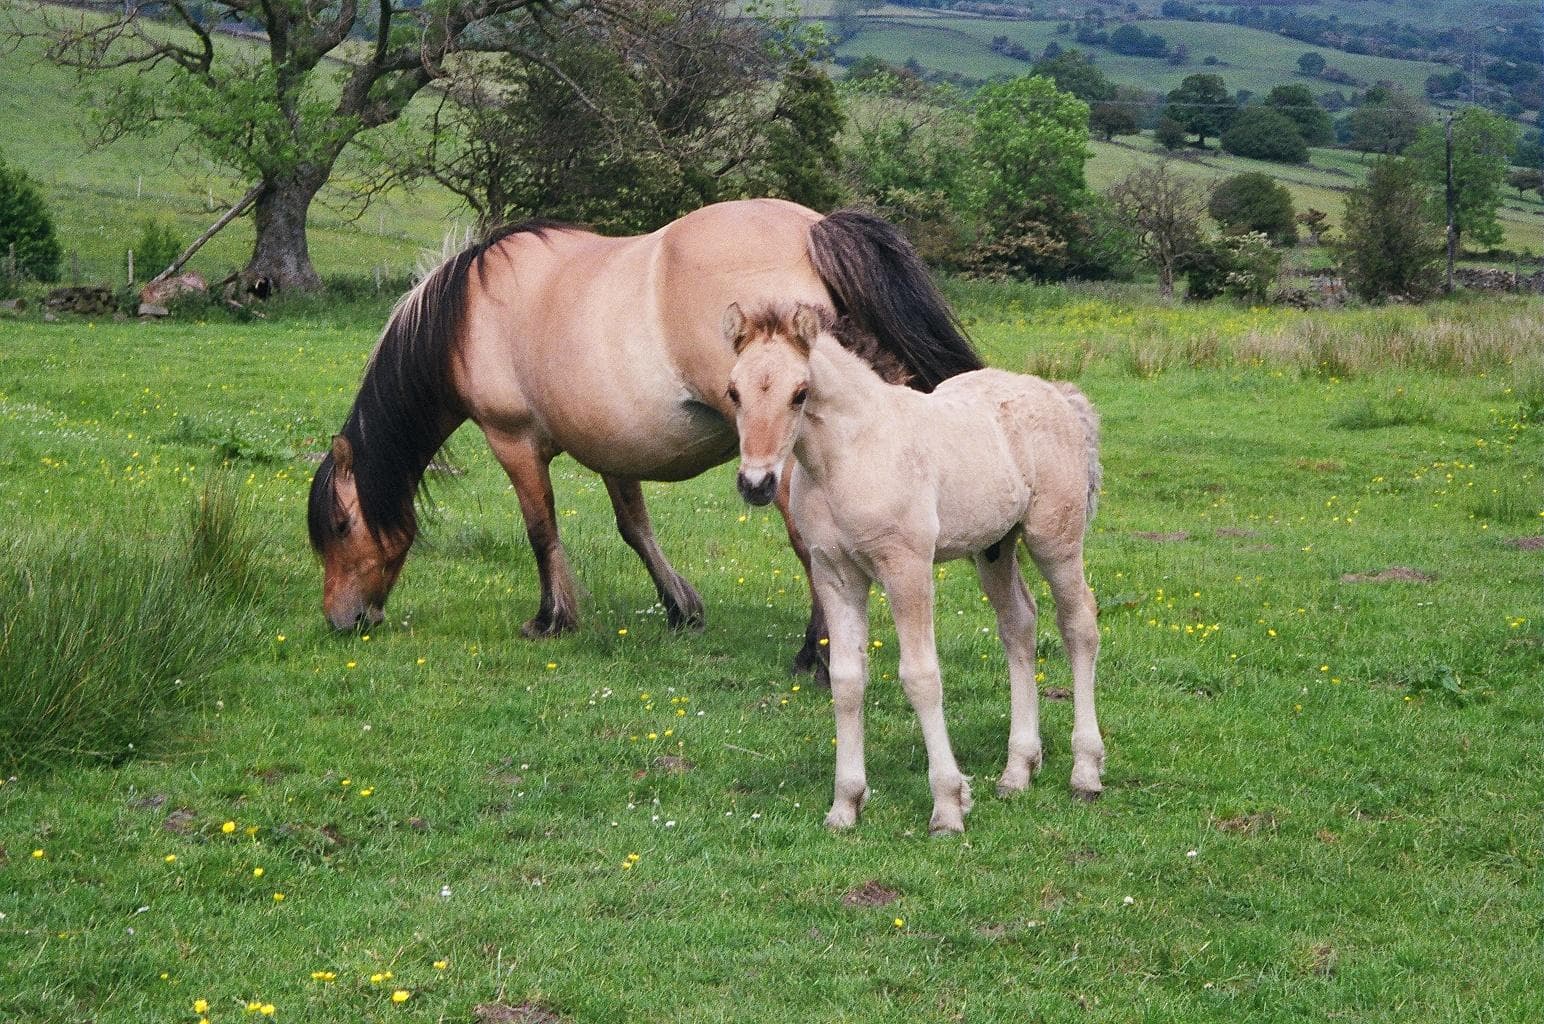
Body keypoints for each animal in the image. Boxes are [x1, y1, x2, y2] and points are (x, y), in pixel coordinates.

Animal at [306, 199, 982, 682]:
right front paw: (681, 607)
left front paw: (552, 618)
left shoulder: (513, 442)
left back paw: (815, 656)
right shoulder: (615, 450)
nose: (342, 620)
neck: (465, 319)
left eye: (340, 525)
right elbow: (636, 528)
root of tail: (813, 229)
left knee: (809, 539)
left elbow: (541, 531)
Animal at [722, 301, 1105, 835]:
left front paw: (948, 805)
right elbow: (846, 681)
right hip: (994, 547)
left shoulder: (907, 568)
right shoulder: (836, 575)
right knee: (1019, 626)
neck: (848, 457)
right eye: (733, 391)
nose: (756, 484)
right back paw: (1017, 771)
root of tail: (1059, 395)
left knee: (1078, 624)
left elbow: (921, 676)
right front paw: (845, 805)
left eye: (800, 393)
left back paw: (1085, 772)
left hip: (1055, 540)